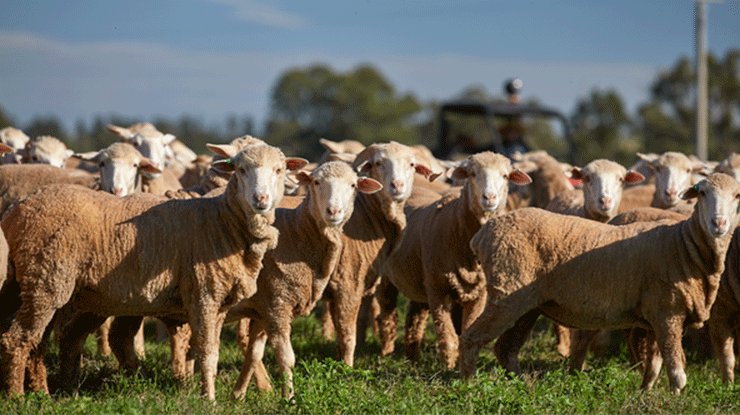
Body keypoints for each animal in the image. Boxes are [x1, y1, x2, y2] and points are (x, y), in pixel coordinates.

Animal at [0, 144, 307, 399]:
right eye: (241, 170)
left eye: (279, 170)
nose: (261, 199)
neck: (222, 221)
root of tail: (17, 209)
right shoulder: (204, 294)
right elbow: (207, 353)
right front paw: (209, 399)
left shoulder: (219, 303)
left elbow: (212, 352)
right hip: (45, 282)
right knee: (17, 339)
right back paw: (18, 397)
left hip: (39, 285)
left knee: (38, 343)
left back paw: (43, 392)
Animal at [229, 161, 383, 399]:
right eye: (316, 182)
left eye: (353, 185)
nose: (333, 211)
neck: (296, 233)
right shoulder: (278, 303)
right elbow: (286, 358)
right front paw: (288, 399)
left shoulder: (264, 307)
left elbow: (254, 353)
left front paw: (238, 395)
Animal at [382, 152, 532, 369]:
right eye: (472, 174)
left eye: (505, 176)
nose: (489, 198)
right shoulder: (438, 290)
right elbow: (448, 336)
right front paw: (449, 367)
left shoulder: (478, 293)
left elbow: (467, 330)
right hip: (389, 278)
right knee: (385, 313)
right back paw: (384, 352)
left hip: (420, 278)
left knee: (414, 318)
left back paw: (413, 358)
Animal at [460, 173, 740, 394]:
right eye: (702, 193)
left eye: (737, 196)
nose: (719, 223)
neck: (684, 245)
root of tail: (482, 234)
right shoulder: (667, 312)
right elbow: (675, 366)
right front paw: (676, 397)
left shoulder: (660, 317)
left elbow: (655, 363)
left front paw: (645, 393)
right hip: (505, 294)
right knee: (472, 338)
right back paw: (469, 387)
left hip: (526, 304)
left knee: (506, 349)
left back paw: (525, 387)